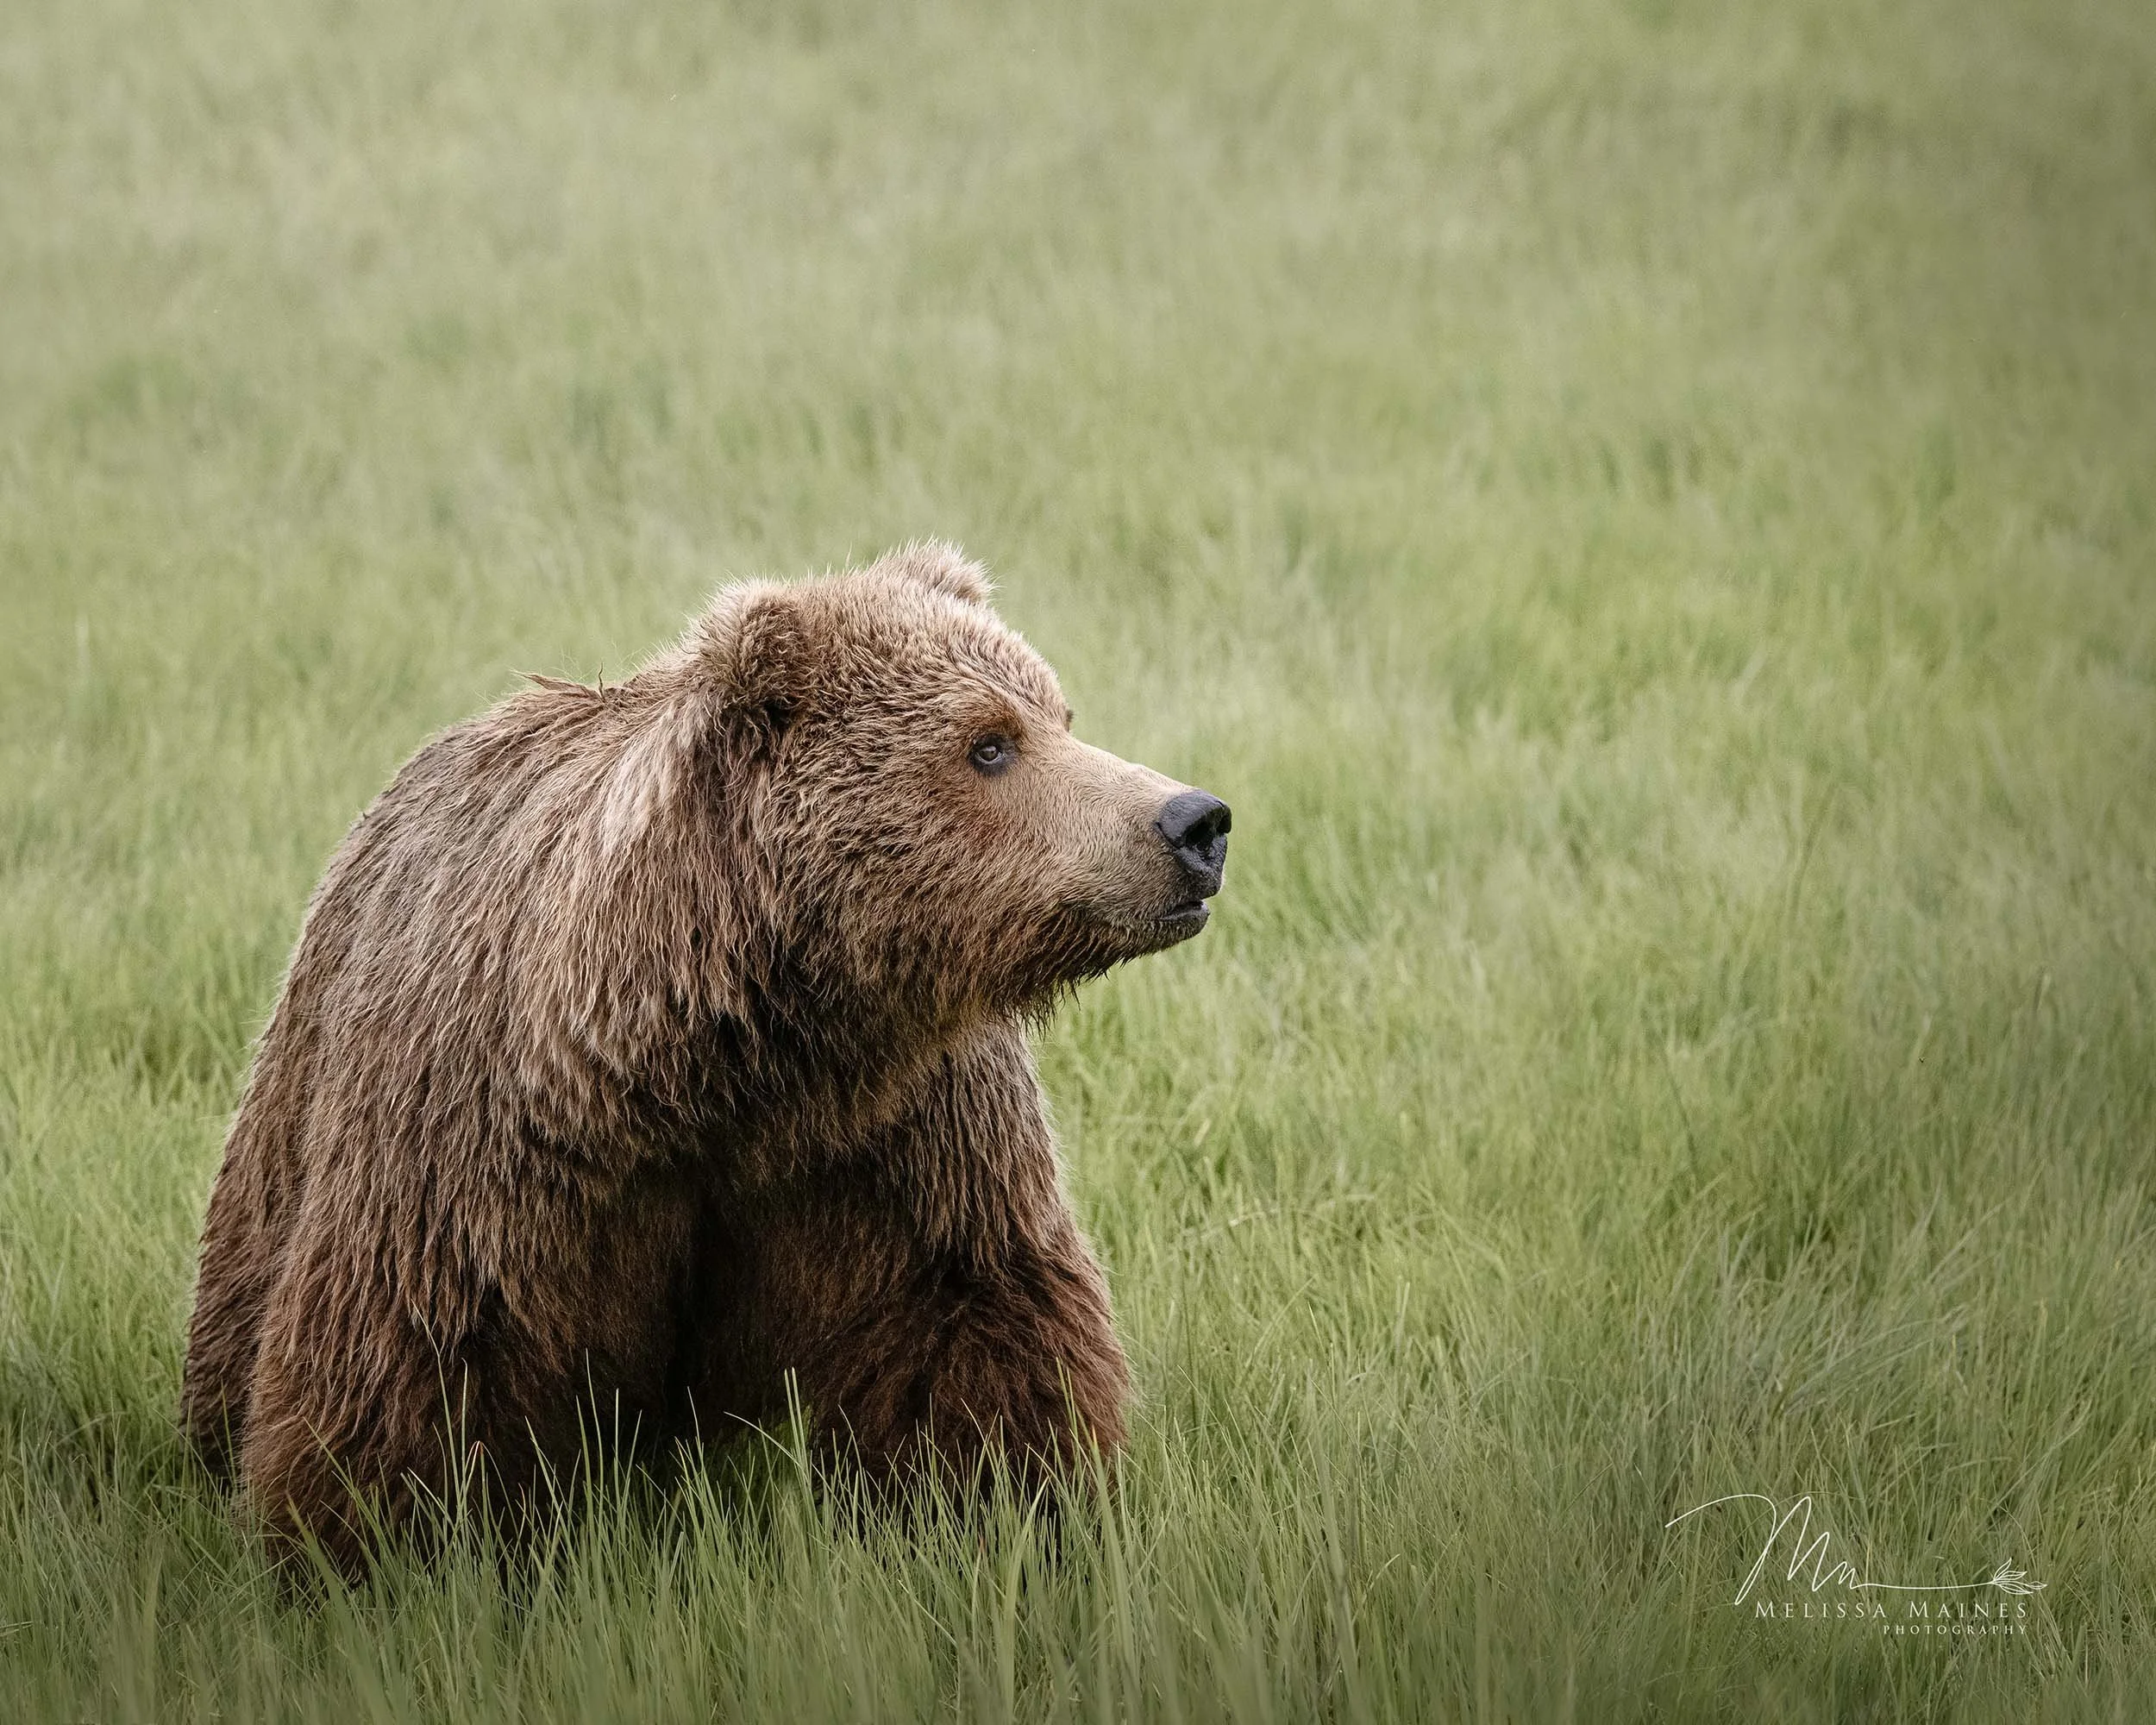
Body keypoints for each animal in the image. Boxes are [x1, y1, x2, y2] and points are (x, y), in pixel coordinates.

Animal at [179, 542, 1231, 1576]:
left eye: (1059, 713)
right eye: (989, 743)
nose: (1194, 821)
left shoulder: (899, 1133)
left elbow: (976, 1319)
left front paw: (1015, 1508)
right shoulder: (484, 1148)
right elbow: (422, 1350)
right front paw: (384, 1548)